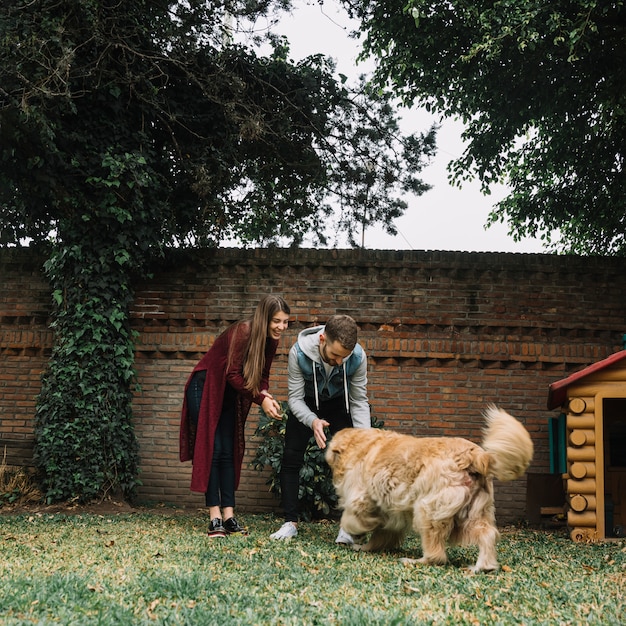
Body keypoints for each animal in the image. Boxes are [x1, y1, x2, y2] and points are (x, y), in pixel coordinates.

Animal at [324, 404, 532, 572]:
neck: (359, 445)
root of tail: (477, 456)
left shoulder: (360, 498)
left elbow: (350, 519)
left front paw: (358, 533)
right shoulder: (390, 511)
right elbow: (381, 533)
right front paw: (367, 546)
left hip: (428, 510)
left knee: (437, 555)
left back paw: (415, 561)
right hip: (472, 514)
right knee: (487, 535)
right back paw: (483, 567)